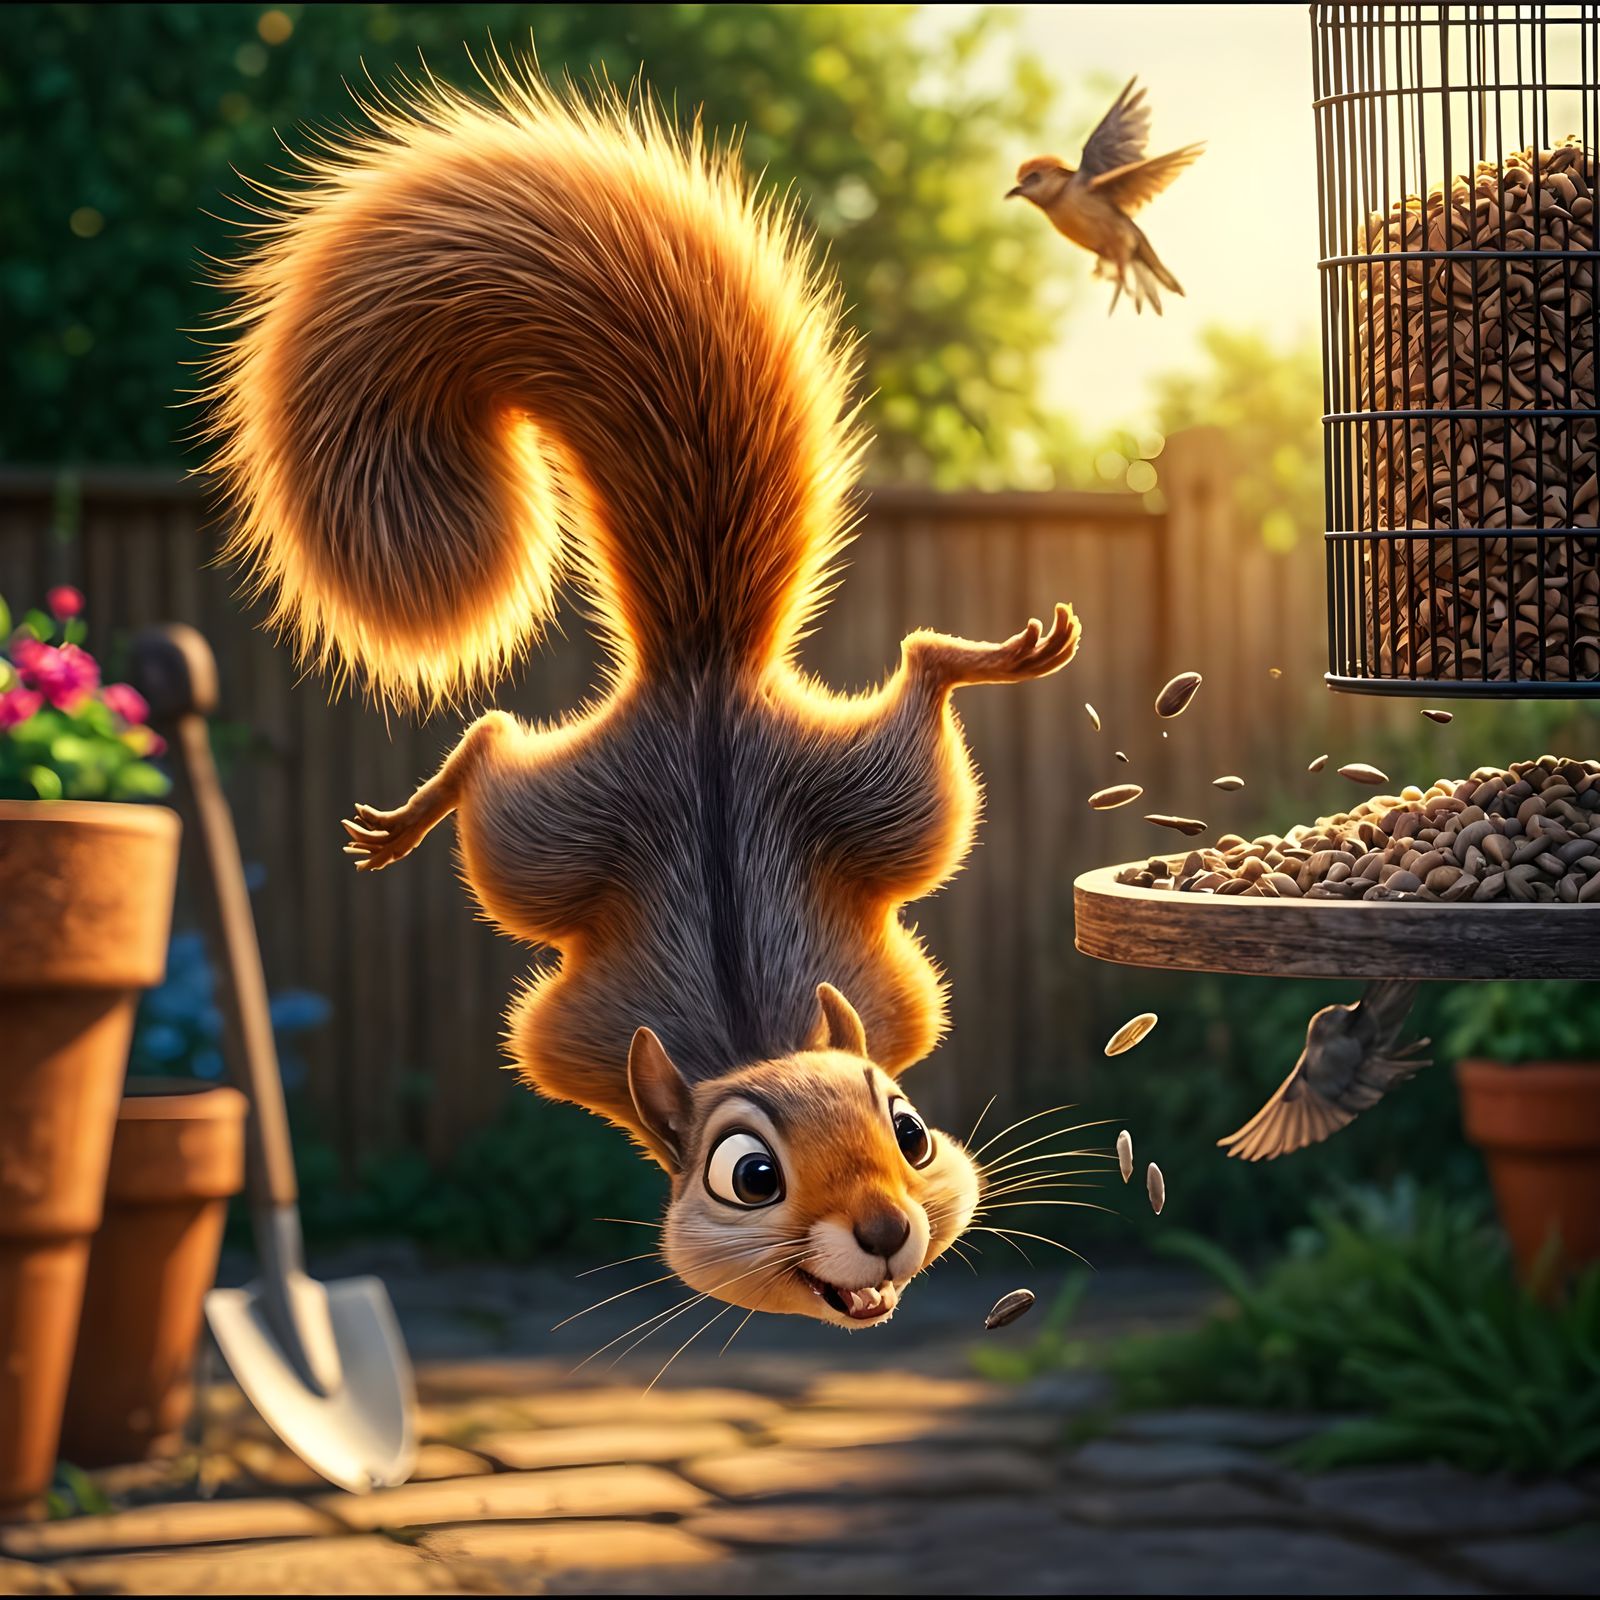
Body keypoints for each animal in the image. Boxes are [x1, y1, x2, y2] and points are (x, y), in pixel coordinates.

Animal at [205, 66, 1080, 1329]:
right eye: (748, 1175)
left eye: (909, 1131)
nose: (885, 1229)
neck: (755, 1039)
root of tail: (701, 686)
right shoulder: (575, 1046)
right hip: (561, 833)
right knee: (491, 744)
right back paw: (410, 814)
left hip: (865, 796)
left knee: (917, 673)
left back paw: (998, 655)